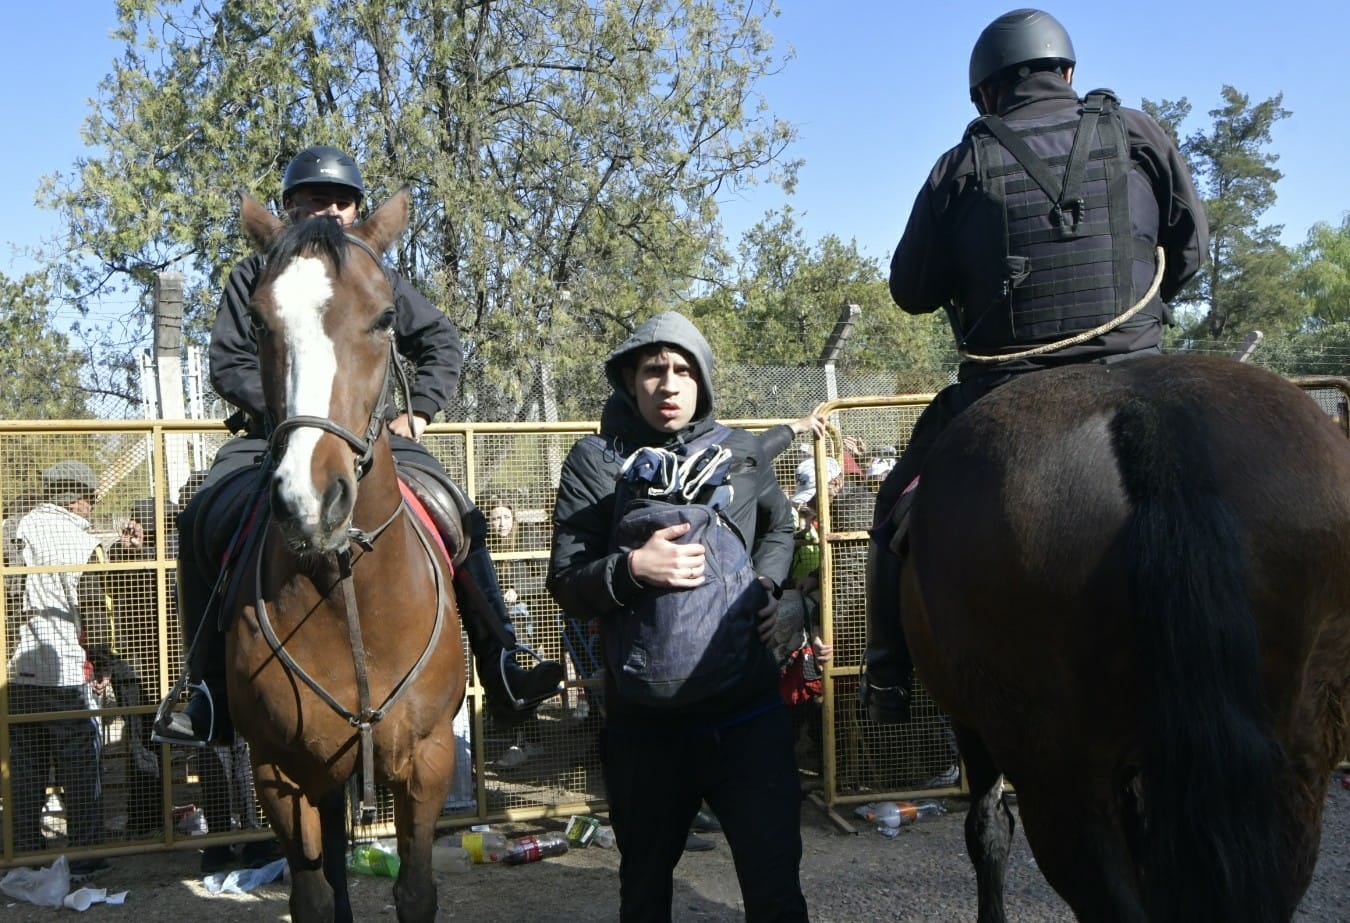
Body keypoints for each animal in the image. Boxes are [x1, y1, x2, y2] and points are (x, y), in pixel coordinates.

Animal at [225, 191, 464, 917]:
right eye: (259, 321)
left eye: (385, 317)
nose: (311, 499)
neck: (345, 587)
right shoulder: (280, 773)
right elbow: (313, 895)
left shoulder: (429, 761)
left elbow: (416, 891)